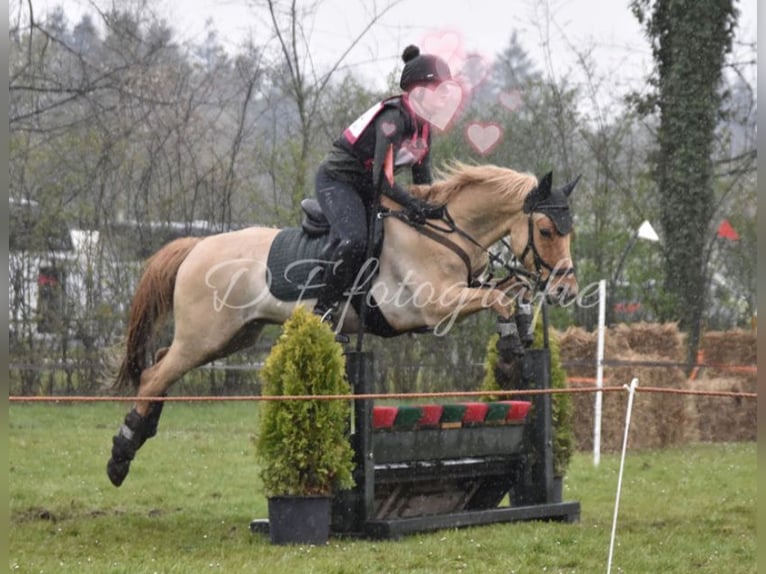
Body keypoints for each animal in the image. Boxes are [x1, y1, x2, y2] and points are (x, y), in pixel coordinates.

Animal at [103, 163, 584, 490]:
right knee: (154, 374)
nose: (566, 290)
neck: (442, 234)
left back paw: (142, 432)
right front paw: (510, 342)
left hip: (232, 336)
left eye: (569, 230)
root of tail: (197, 246)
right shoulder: (433, 308)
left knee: (160, 365)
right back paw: (121, 455)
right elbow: (498, 297)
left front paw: (522, 329)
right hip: (206, 336)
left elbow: (510, 290)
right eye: (545, 229)